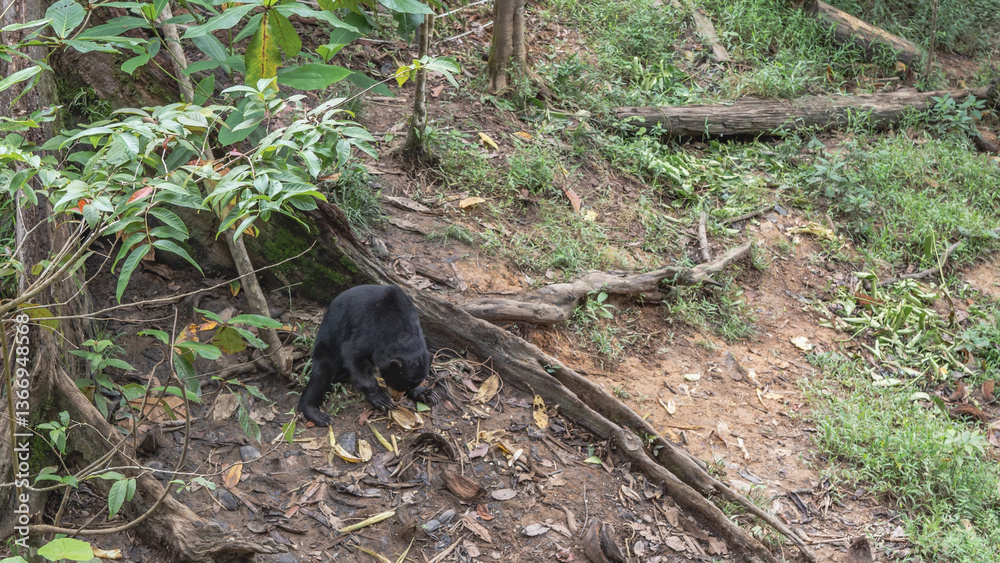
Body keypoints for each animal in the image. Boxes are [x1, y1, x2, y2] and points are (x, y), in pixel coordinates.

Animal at [298, 284, 435, 426]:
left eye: (406, 385)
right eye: (396, 383)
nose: (396, 398)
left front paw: (424, 392)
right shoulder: (369, 327)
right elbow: (352, 354)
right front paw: (382, 400)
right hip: (326, 346)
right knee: (321, 376)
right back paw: (319, 415)